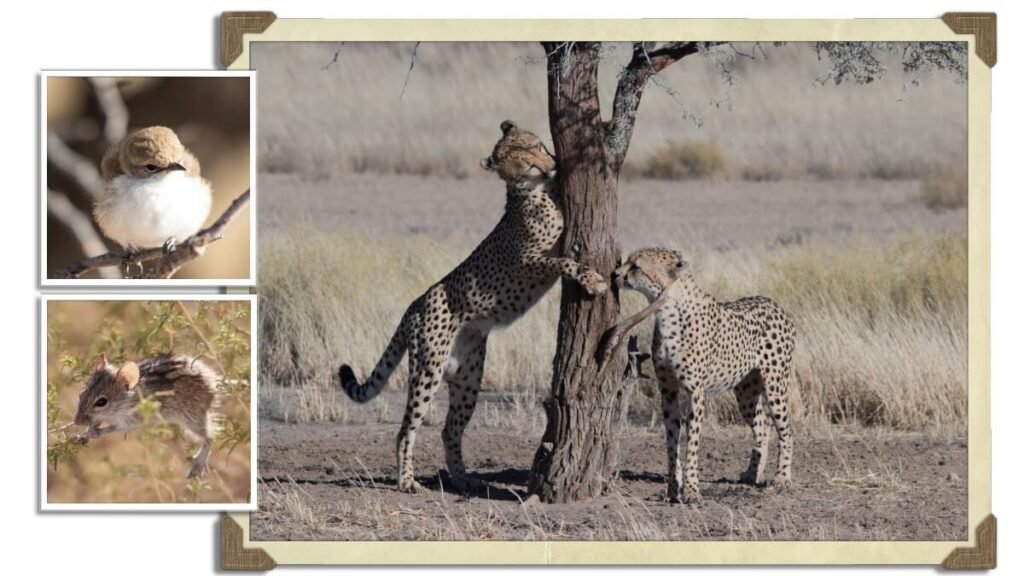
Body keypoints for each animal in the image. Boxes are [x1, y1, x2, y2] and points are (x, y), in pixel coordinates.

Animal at [335, 118, 606, 491]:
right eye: (528, 164)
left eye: (538, 146)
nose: (550, 163)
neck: (535, 190)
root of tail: (415, 303)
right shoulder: (529, 261)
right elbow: (565, 261)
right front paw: (592, 279)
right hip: (428, 370)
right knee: (406, 430)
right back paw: (407, 481)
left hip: (468, 379)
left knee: (450, 430)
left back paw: (464, 480)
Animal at [610, 247, 794, 502]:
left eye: (636, 266)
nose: (614, 274)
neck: (667, 310)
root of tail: (773, 302)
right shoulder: (667, 390)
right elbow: (672, 439)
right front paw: (672, 490)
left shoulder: (695, 391)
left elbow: (692, 441)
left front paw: (691, 490)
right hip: (746, 393)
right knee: (762, 426)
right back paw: (751, 474)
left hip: (775, 385)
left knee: (786, 431)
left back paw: (782, 478)